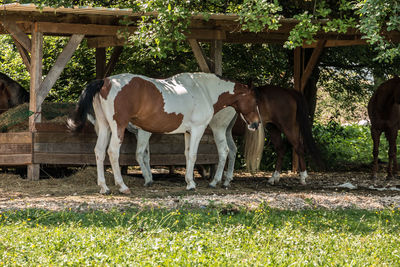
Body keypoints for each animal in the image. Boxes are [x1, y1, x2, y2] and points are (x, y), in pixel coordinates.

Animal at [68, 73, 262, 195]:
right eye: (253, 100)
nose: (256, 123)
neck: (204, 90)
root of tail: (105, 81)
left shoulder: (188, 132)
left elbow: (187, 155)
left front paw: (188, 181)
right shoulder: (197, 129)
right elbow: (193, 155)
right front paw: (191, 184)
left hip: (105, 127)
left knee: (99, 152)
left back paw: (104, 187)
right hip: (117, 128)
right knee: (112, 152)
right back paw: (122, 186)